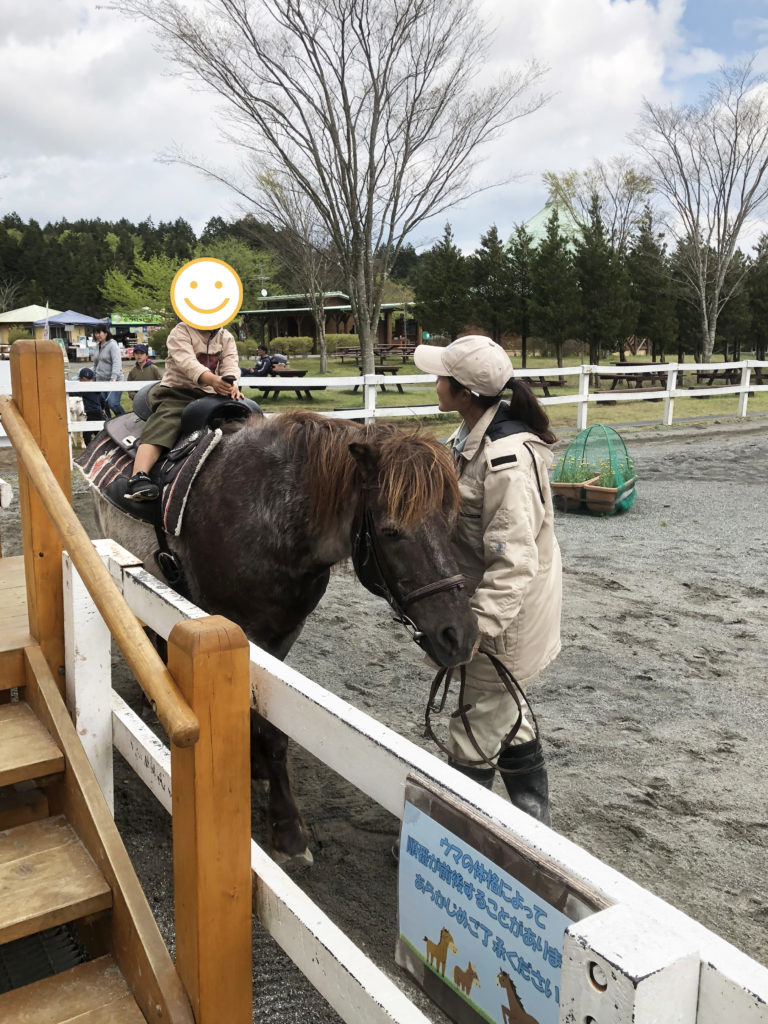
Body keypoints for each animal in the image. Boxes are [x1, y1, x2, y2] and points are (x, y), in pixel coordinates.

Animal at [90, 411, 475, 860]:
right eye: (390, 531)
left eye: (451, 522)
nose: (460, 636)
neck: (273, 516)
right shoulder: (244, 630)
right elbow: (267, 727)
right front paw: (287, 829)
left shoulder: (284, 634)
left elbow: (269, 721)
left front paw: (260, 771)